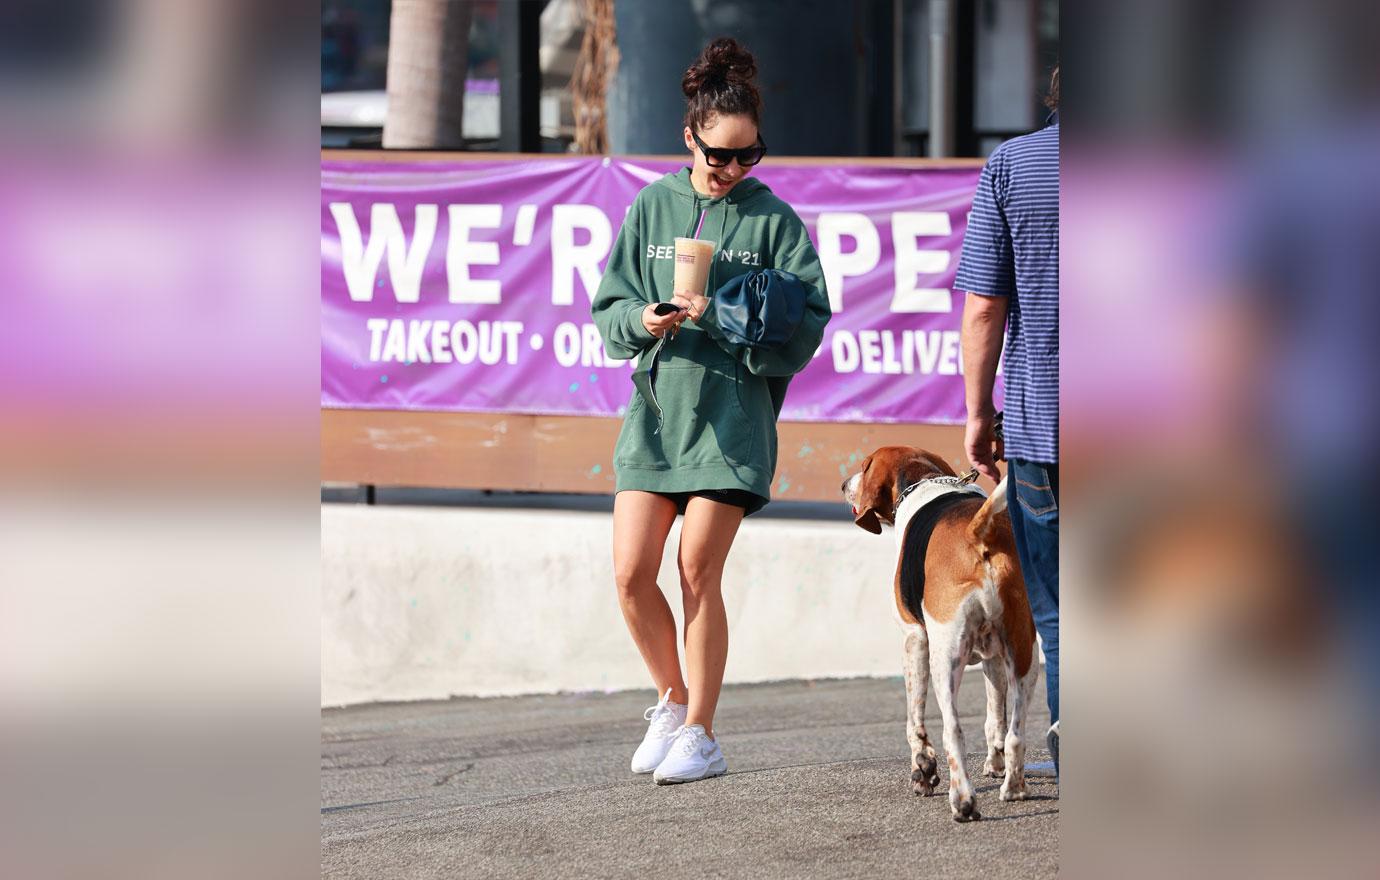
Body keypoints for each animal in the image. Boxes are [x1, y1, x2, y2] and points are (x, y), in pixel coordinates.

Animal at [839, 452, 1037, 822]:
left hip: (944, 658)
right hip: (1024, 653)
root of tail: (977, 533)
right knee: (1016, 730)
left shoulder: (915, 640)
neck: (925, 480)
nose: (844, 485)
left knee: (952, 731)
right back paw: (1014, 788)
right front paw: (995, 764)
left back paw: (963, 801)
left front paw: (923, 771)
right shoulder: (993, 657)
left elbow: (914, 721)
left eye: (865, 465)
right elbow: (995, 719)